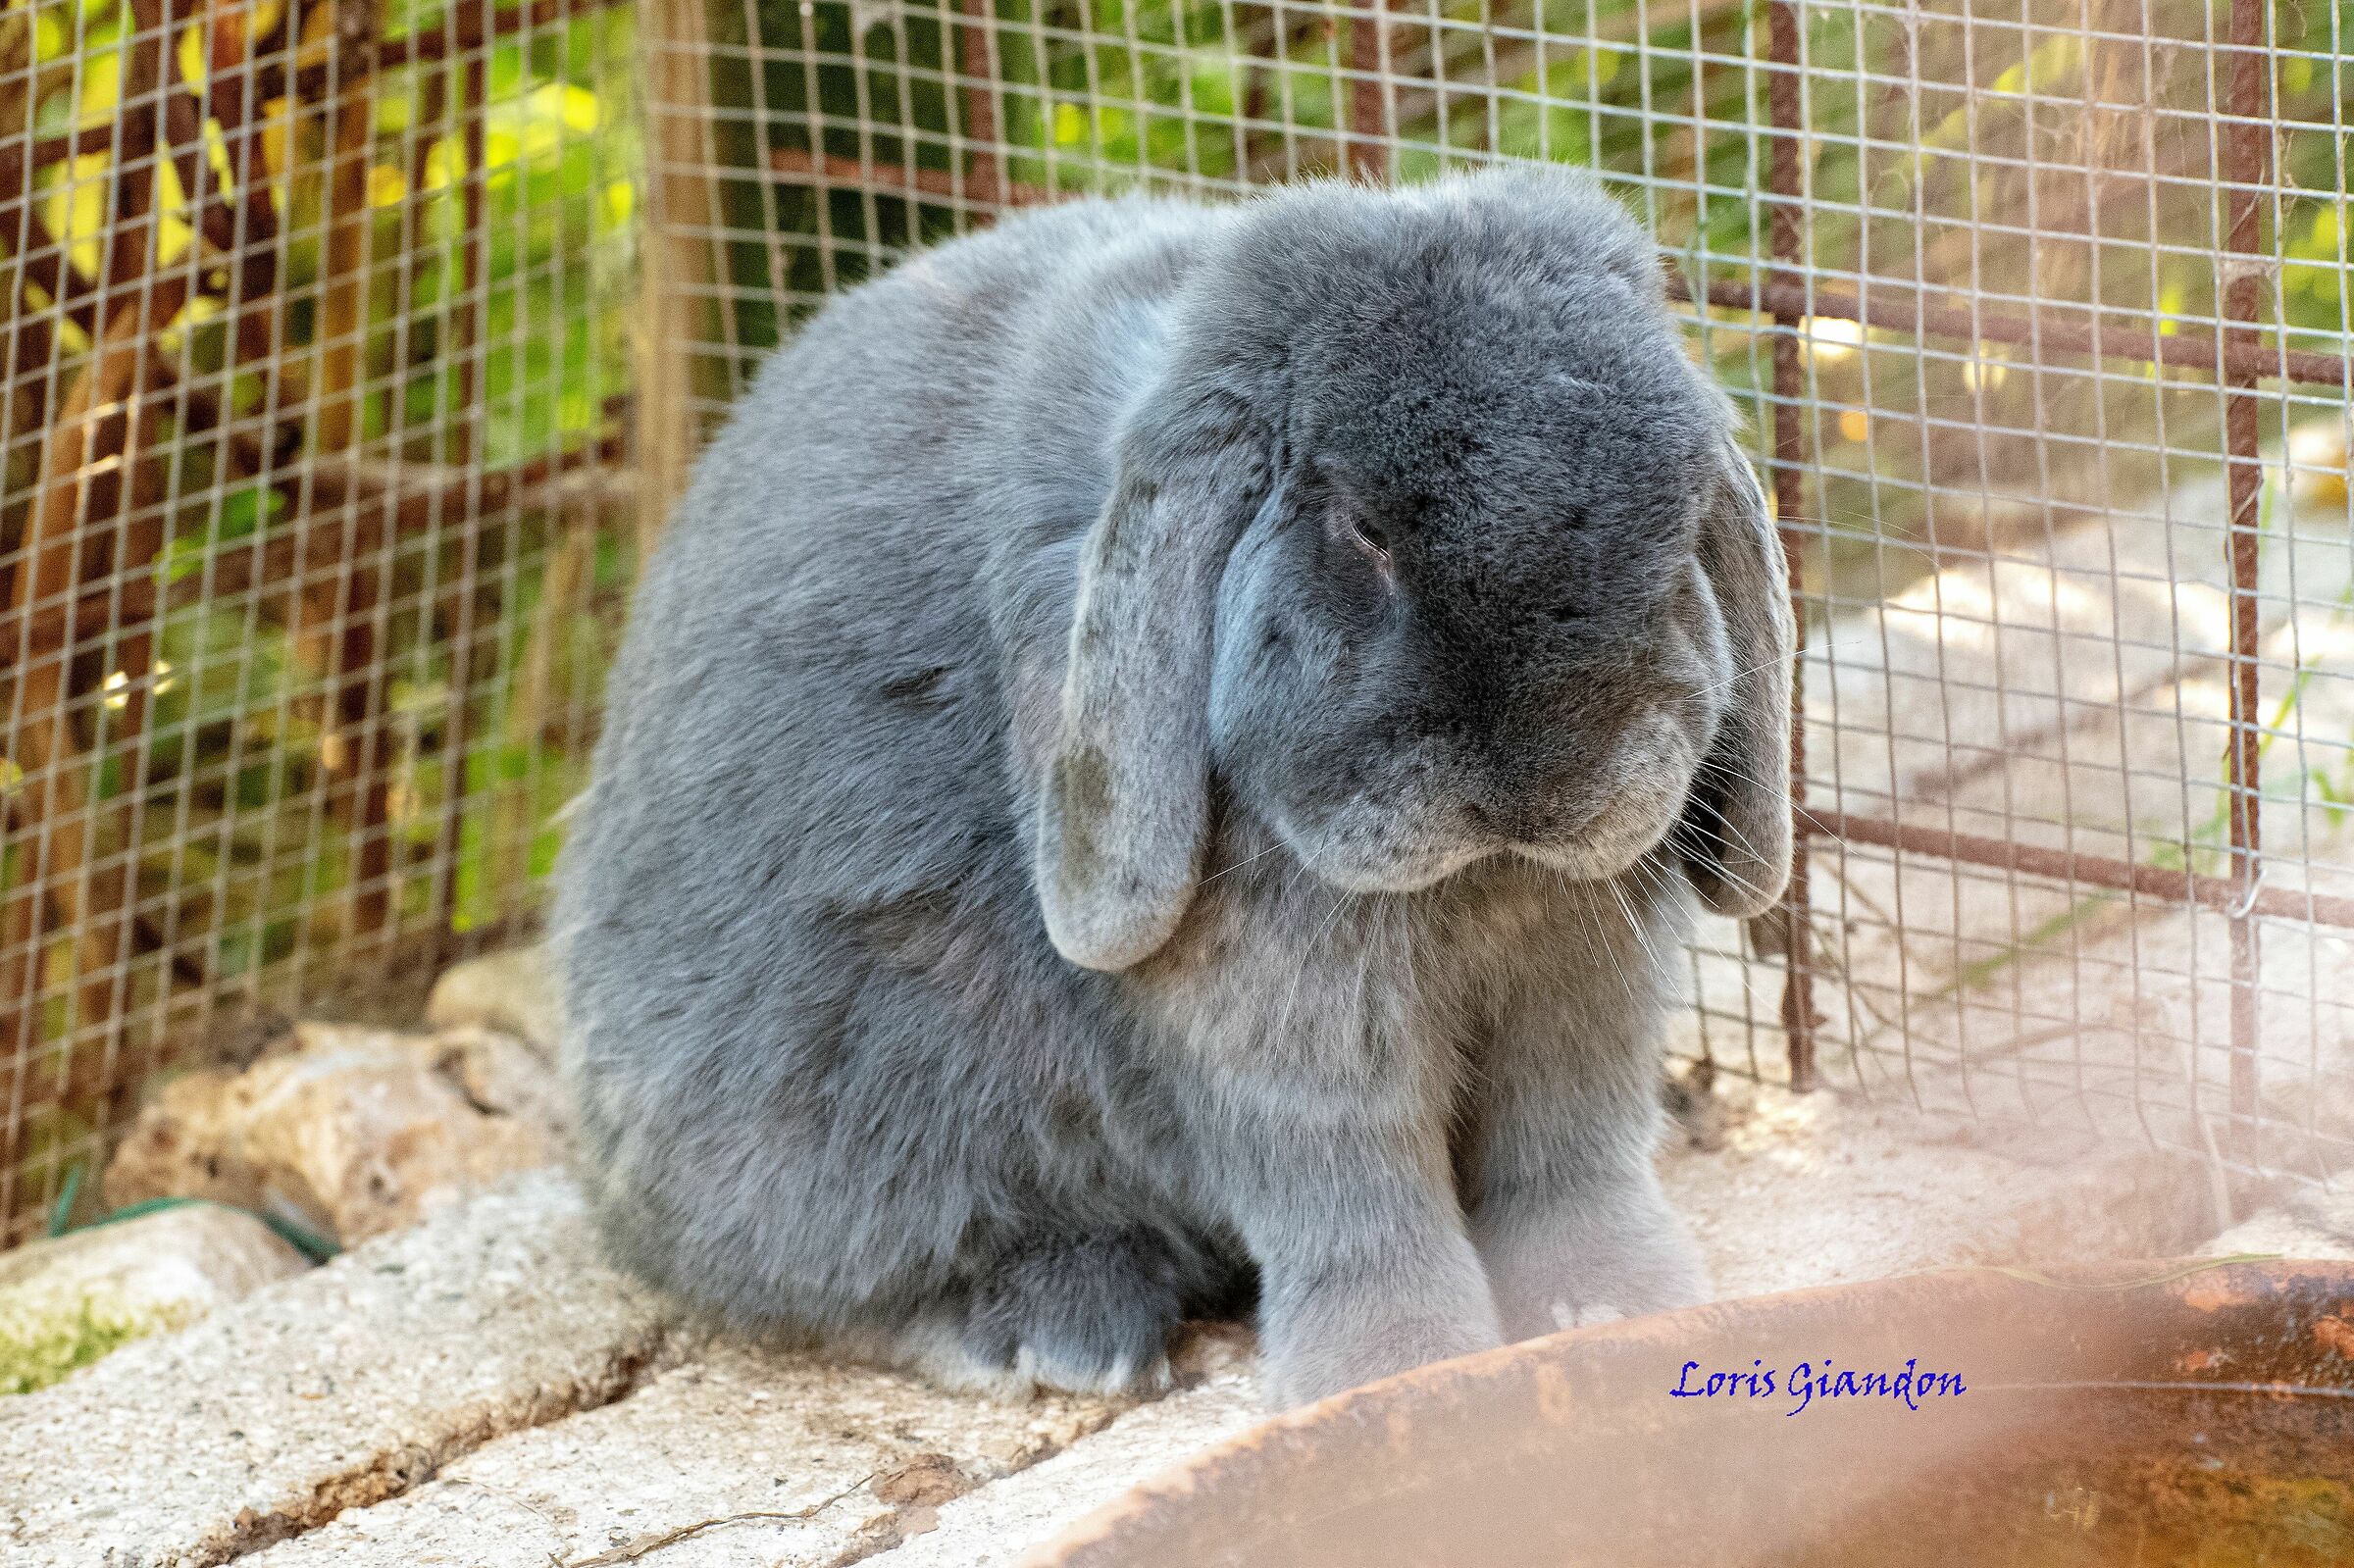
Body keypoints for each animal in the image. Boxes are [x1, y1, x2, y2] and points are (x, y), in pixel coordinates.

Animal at [552, 167, 1793, 1411]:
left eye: (1680, 519)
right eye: (1362, 527)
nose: (1543, 780)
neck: (1480, 884)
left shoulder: (1581, 980)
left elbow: (1570, 1153)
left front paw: (1626, 1311)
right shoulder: (1275, 1016)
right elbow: (1351, 1195)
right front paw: (1391, 1373)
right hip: (826, 1123)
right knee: (833, 1275)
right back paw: (1062, 1334)